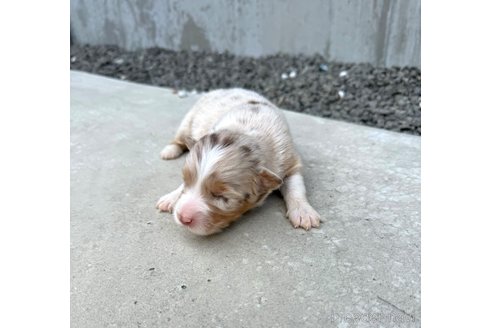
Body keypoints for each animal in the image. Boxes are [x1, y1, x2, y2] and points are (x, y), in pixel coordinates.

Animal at [156, 88, 320, 234]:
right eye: (185, 180)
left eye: (222, 197)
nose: (183, 217)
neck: (245, 131)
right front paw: (171, 197)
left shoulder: (290, 160)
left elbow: (296, 186)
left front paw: (304, 213)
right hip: (189, 120)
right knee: (180, 138)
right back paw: (169, 151)